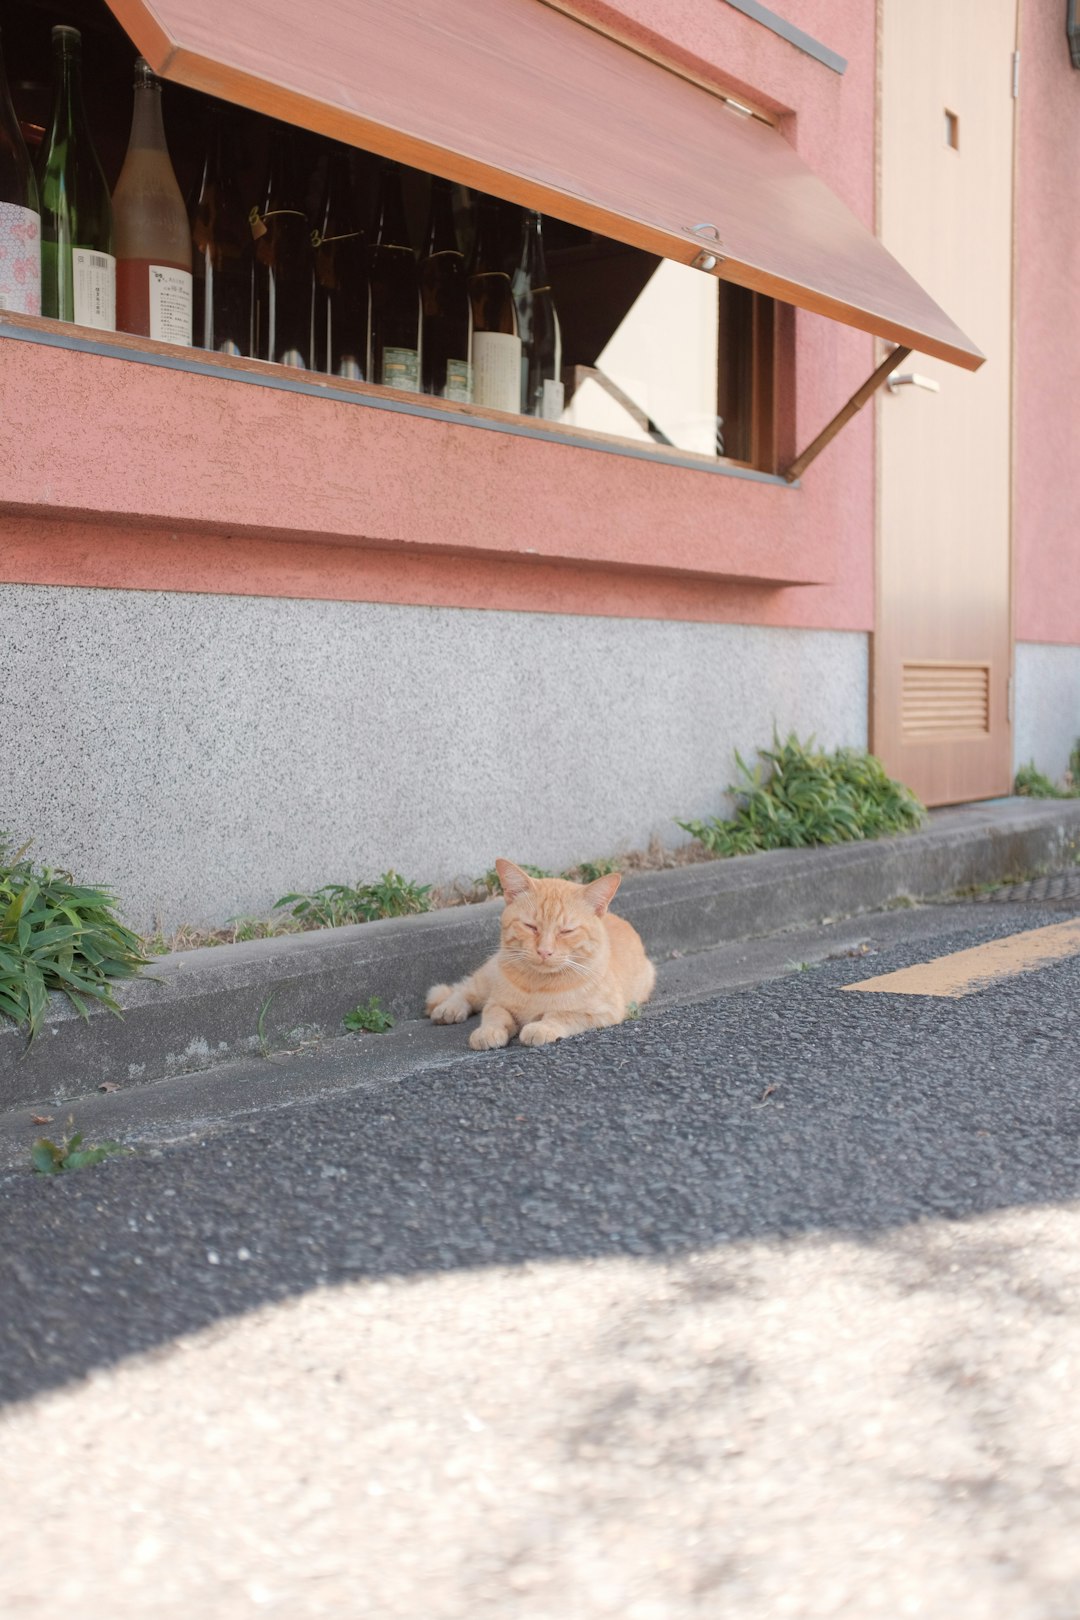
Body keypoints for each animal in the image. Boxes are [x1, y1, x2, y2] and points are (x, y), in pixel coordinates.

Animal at [427, 861, 654, 1049]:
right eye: (530, 926)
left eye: (566, 931)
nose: (544, 950)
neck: (538, 985)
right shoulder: (497, 1002)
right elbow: (494, 1014)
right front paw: (488, 1032)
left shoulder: (603, 1012)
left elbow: (562, 1015)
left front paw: (541, 1028)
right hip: (488, 977)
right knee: (465, 990)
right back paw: (448, 1008)